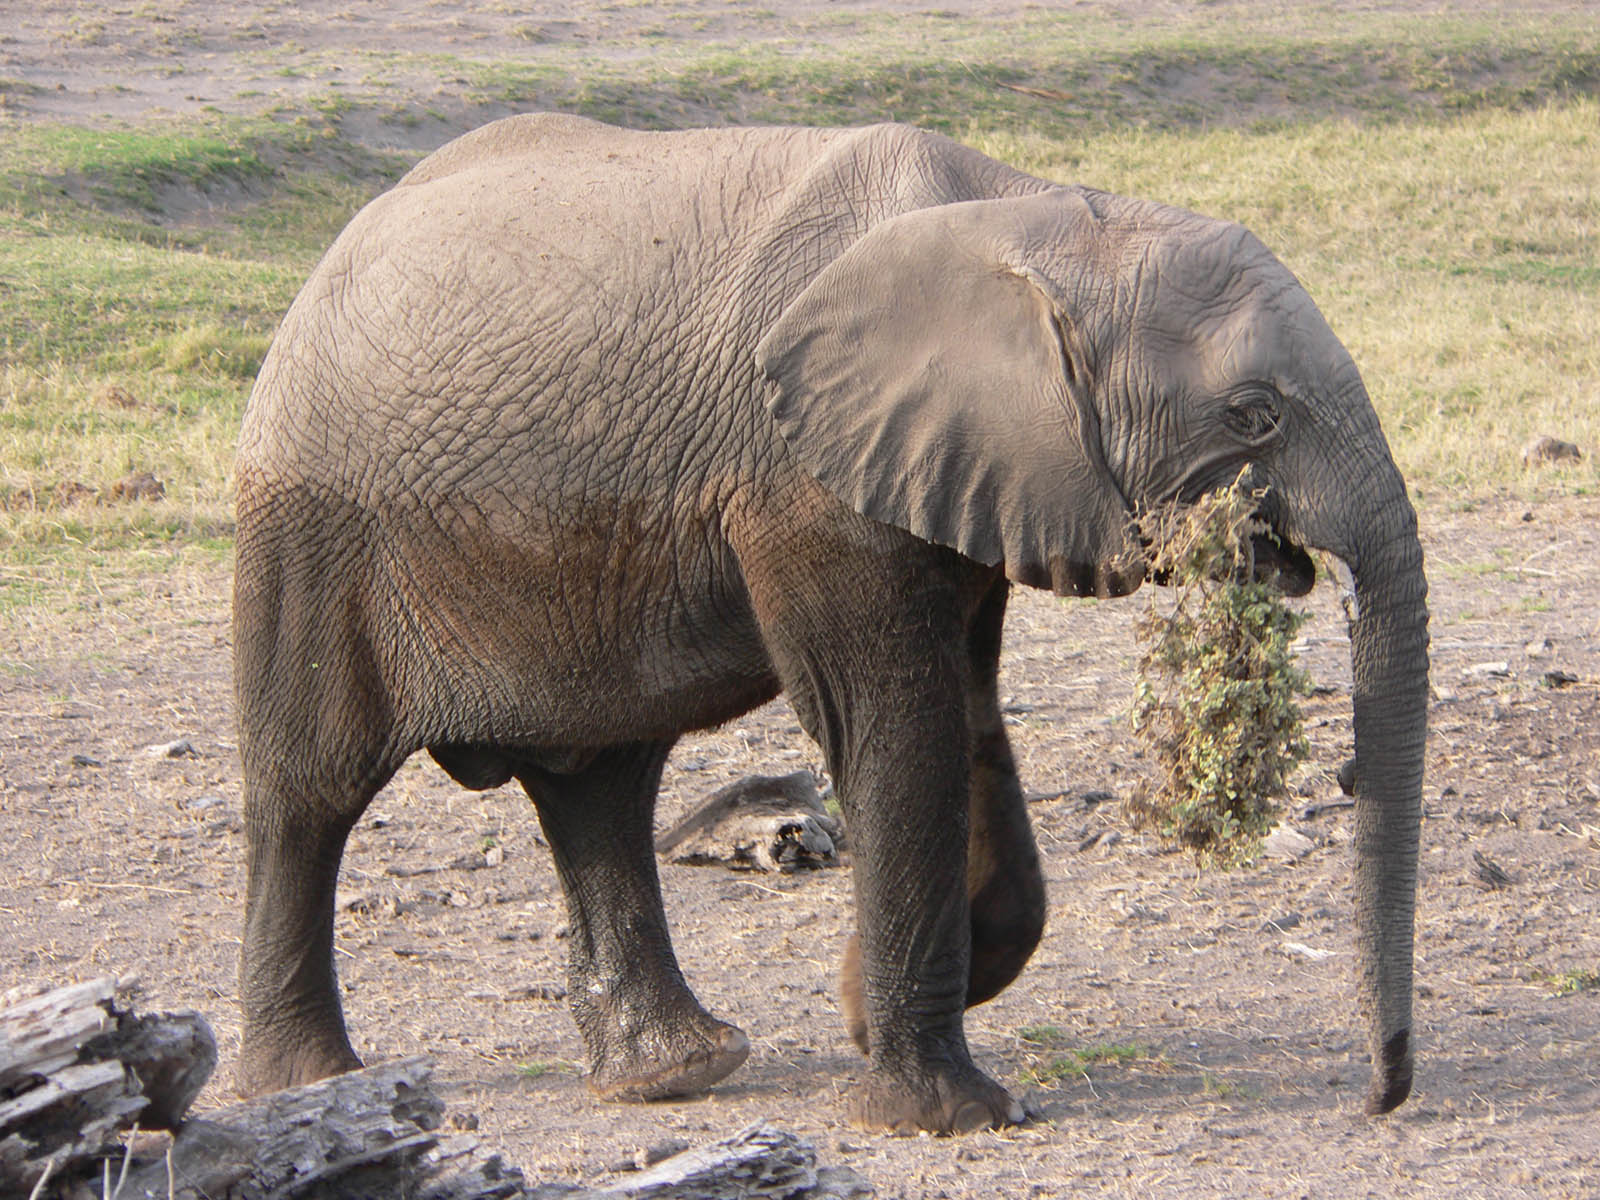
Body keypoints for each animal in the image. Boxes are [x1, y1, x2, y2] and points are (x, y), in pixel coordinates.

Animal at [232, 112, 1433, 1139]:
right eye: (1254, 415)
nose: (1377, 1099)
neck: (1031, 217)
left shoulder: (952, 468)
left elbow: (966, 720)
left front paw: (862, 1009)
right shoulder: (807, 482)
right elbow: (893, 730)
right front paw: (944, 1117)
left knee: (600, 788)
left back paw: (678, 1073)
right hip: (312, 533)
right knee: (311, 794)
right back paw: (313, 1085)